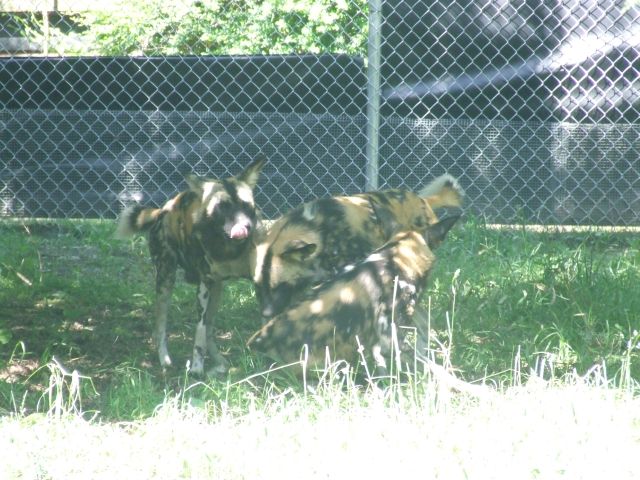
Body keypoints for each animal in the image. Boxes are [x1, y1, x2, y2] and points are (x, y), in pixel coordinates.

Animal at [117, 157, 265, 376]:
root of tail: (164, 209)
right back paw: (165, 361)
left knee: (210, 328)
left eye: (246, 205)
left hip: (217, 290)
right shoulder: (203, 288)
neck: (228, 249)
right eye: (223, 207)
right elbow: (199, 333)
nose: (244, 227)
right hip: (166, 281)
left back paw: (220, 363)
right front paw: (196, 367)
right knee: (160, 328)